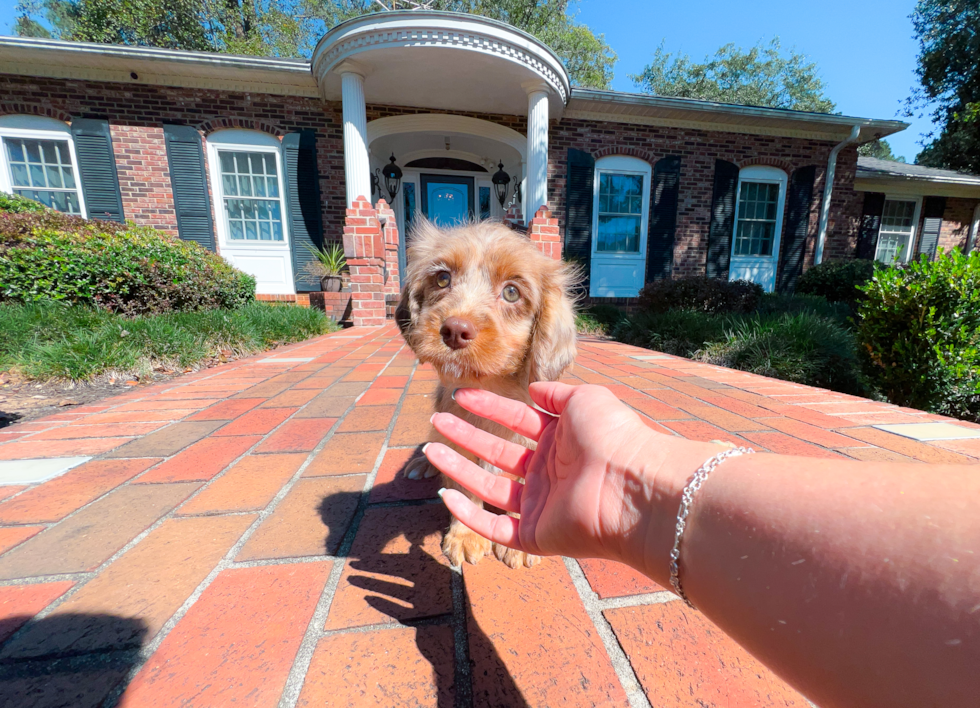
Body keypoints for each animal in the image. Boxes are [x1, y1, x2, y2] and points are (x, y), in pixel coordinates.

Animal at [394, 218, 580, 568]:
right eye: (442, 278)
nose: (454, 330)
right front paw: (466, 536)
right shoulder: (457, 442)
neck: (491, 388)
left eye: (511, 292)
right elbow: (463, 489)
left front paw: (521, 541)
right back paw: (422, 463)